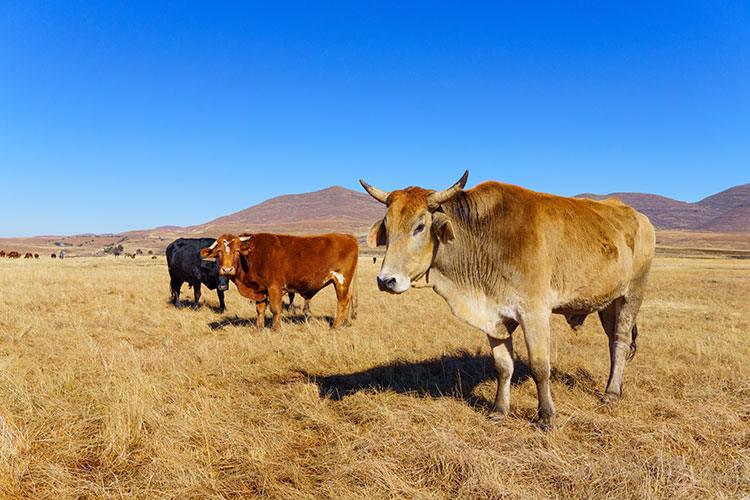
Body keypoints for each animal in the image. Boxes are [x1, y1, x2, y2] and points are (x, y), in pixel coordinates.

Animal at [201, 233, 360, 332]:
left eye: (236, 251)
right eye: (219, 252)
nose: (227, 269)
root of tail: (347, 236)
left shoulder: (274, 287)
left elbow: (275, 309)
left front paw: (276, 328)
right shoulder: (260, 289)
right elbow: (260, 309)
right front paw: (259, 328)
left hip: (341, 280)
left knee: (342, 301)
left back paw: (335, 326)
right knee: (348, 299)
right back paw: (344, 323)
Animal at [362, 171, 656, 430]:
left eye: (420, 226)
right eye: (387, 225)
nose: (386, 281)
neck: (486, 239)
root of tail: (640, 217)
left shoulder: (535, 314)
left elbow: (540, 367)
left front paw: (546, 416)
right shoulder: (495, 317)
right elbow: (503, 367)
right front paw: (499, 410)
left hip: (632, 295)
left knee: (620, 341)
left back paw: (611, 394)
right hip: (608, 303)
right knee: (613, 343)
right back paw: (613, 386)